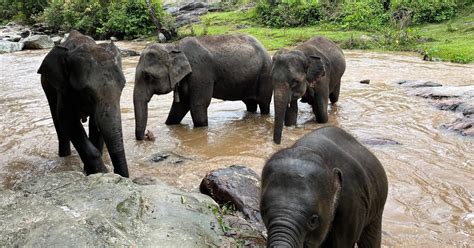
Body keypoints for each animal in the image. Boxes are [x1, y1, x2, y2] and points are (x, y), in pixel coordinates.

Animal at [37, 30, 129, 177]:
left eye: (123, 85)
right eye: (86, 90)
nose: (117, 173)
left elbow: (96, 124)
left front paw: (93, 171)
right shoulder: (65, 90)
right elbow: (67, 121)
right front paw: (100, 172)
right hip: (47, 85)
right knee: (57, 122)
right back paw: (64, 156)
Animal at [135, 34, 272, 140]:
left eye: (147, 76)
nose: (147, 135)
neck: (174, 46)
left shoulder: (200, 73)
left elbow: (197, 104)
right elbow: (179, 107)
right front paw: (169, 125)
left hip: (265, 73)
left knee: (264, 103)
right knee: (250, 104)